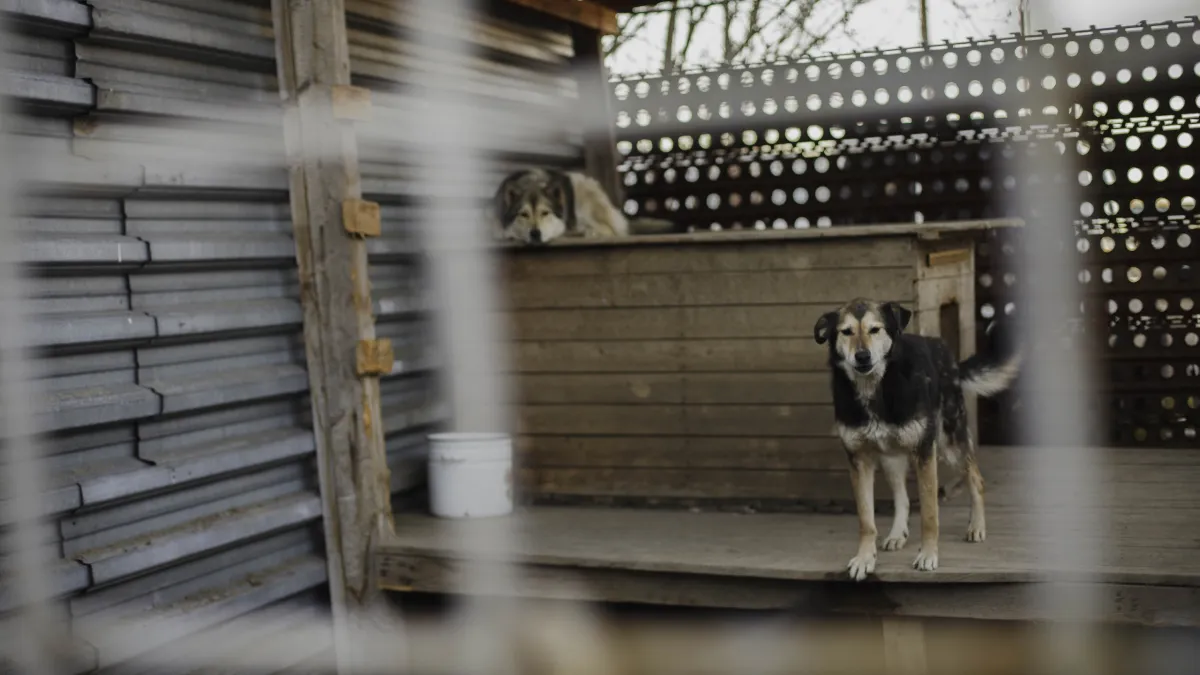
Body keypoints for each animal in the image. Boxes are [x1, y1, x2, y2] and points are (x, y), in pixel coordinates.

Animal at [811, 296, 1017, 581]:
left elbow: (929, 514)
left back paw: (976, 526)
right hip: (891, 457)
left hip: (950, 443)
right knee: (902, 497)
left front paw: (928, 555)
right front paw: (865, 558)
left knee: (976, 479)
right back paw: (898, 533)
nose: (862, 356)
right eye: (846, 332)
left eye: (875, 329)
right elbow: (866, 519)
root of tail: (944, 350)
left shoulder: (925, 451)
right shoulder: (859, 460)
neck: (875, 390)